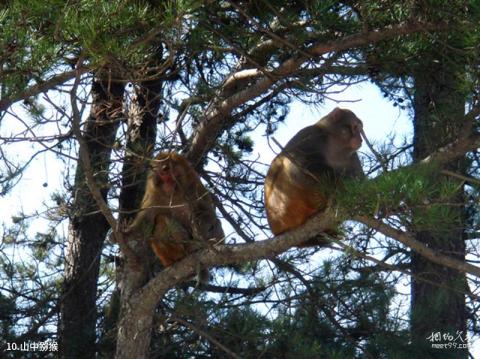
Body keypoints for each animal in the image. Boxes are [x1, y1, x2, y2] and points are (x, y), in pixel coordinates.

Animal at [262, 108, 364, 246]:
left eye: (360, 128)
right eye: (355, 127)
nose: (360, 139)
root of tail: (276, 229)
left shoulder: (353, 156)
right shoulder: (309, 134)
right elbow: (296, 167)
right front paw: (336, 184)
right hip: (283, 208)